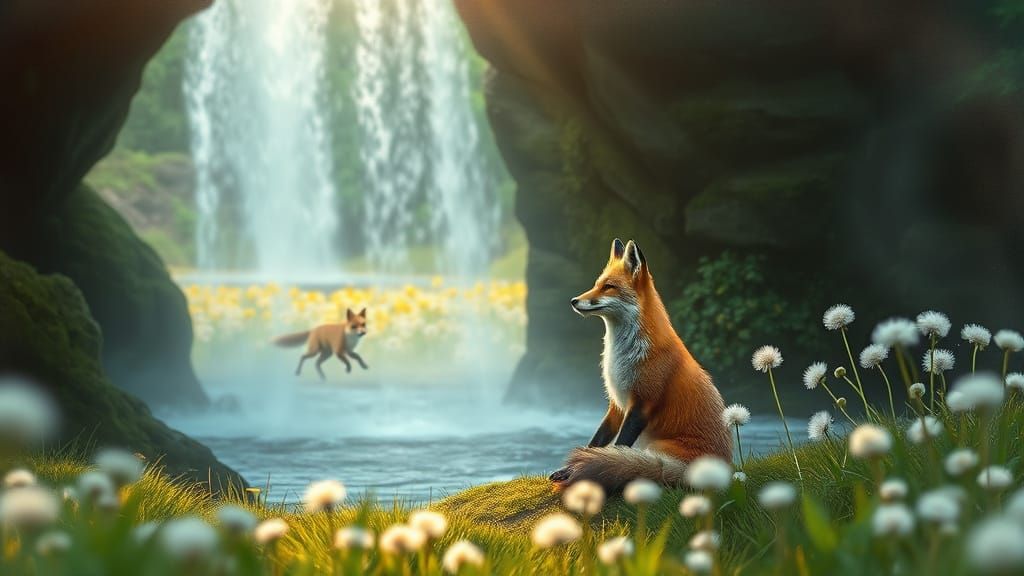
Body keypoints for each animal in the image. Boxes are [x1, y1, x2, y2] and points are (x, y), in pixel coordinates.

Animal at [549, 238, 731, 493]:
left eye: (609, 287)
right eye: (596, 285)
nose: (574, 301)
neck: (624, 356)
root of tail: (725, 470)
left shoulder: (643, 403)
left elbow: (619, 445)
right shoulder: (616, 404)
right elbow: (596, 442)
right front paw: (569, 469)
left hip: (655, 448)